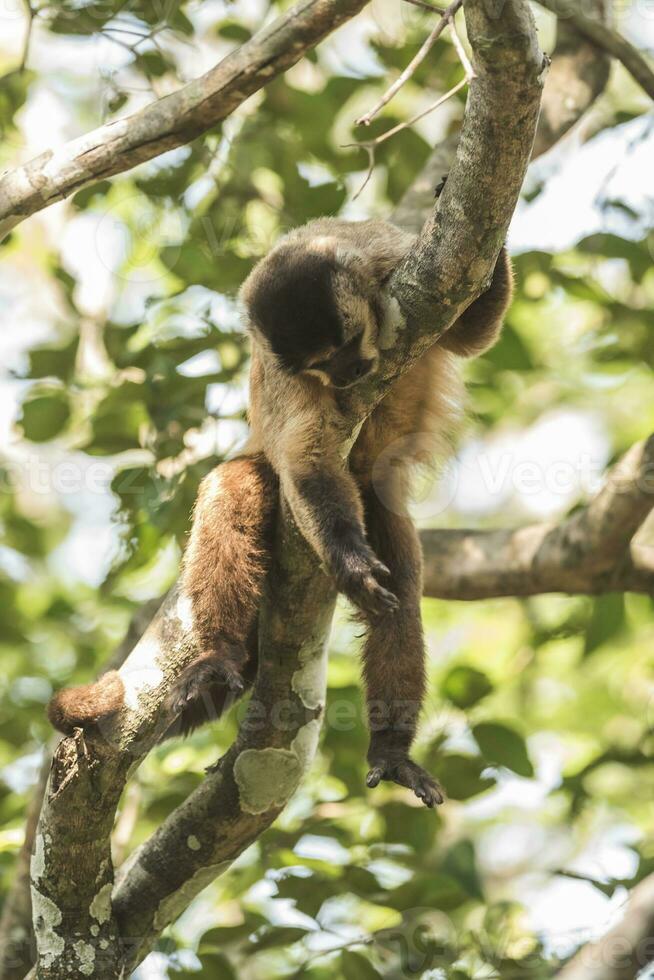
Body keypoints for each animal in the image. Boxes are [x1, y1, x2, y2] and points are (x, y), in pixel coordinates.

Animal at [48, 188, 516, 808]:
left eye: (345, 344)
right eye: (321, 363)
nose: (348, 373)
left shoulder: (397, 260)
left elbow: (473, 334)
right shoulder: (282, 367)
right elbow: (307, 462)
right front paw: (348, 560)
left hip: (374, 499)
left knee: (401, 589)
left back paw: (391, 748)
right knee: (235, 488)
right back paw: (218, 655)